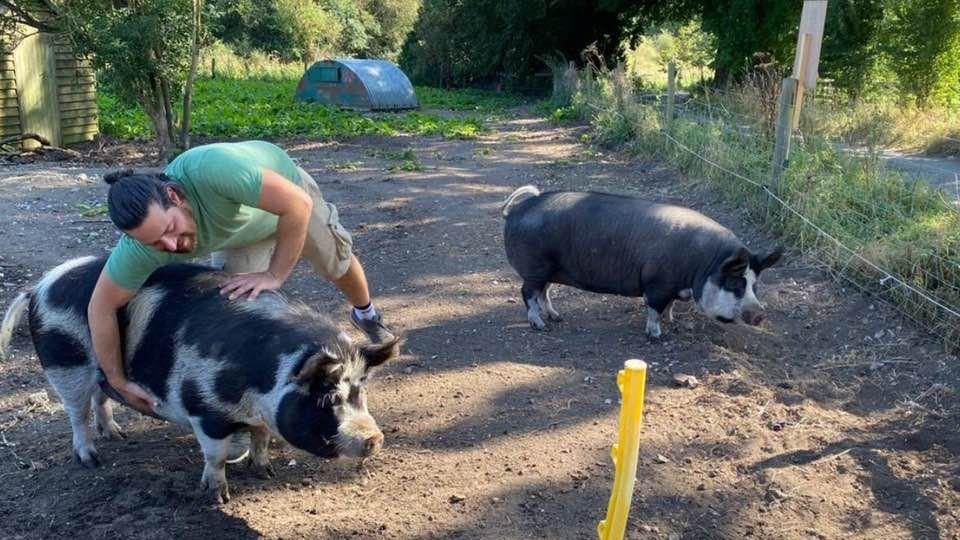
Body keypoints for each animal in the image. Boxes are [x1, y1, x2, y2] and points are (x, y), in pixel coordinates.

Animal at [0, 256, 398, 502]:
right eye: (327, 397)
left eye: (360, 392)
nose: (374, 437)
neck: (261, 378)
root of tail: (37, 288)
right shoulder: (206, 410)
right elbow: (216, 455)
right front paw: (217, 495)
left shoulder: (260, 414)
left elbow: (262, 438)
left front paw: (264, 472)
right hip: (65, 366)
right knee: (76, 414)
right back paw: (91, 459)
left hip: (97, 370)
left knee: (101, 398)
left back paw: (117, 435)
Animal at [498, 187, 784, 338]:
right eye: (735, 282)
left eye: (755, 285)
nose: (760, 314)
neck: (701, 265)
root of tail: (514, 211)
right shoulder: (657, 284)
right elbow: (654, 308)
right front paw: (656, 334)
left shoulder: (672, 287)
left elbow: (669, 306)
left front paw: (672, 322)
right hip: (534, 268)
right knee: (527, 293)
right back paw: (540, 325)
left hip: (548, 270)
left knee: (543, 292)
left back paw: (557, 317)